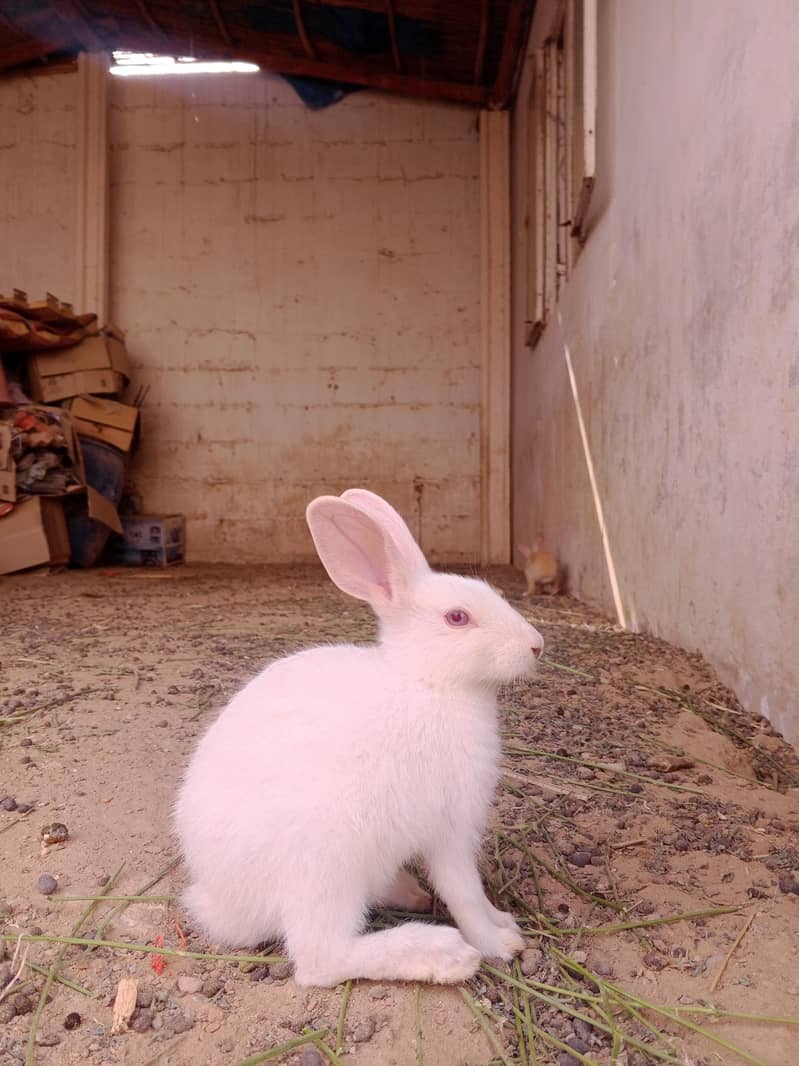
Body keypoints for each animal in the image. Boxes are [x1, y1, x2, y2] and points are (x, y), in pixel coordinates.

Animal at [173, 488, 544, 988]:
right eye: (458, 617)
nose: (536, 645)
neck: (427, 682)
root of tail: (221, 904)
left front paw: (505, 921)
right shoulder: (449, 827)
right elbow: (464, 891)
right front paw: (499, 943)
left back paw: (408, 893)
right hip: (326, 865)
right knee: (320, 959)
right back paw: (441, 954)